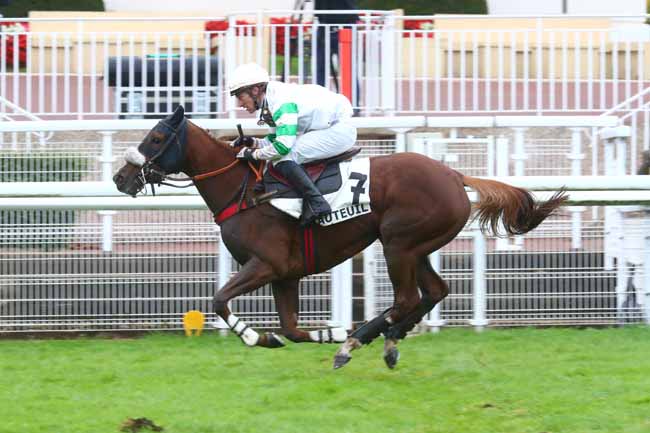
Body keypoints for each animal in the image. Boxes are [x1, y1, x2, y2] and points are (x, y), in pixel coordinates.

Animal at [114, 107, 564, 368]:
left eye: (156, 139)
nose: (121, 178)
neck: (243, 191)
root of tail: (454, 174)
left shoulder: (266, 265)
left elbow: (220, 299)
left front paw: (256, 336)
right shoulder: (285, 275)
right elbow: (292, 329)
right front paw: (312, 333)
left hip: (397, 243)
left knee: (407, 298)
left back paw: (355, 342)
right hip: (416, 247)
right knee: (434, 291)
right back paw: (382, 341)